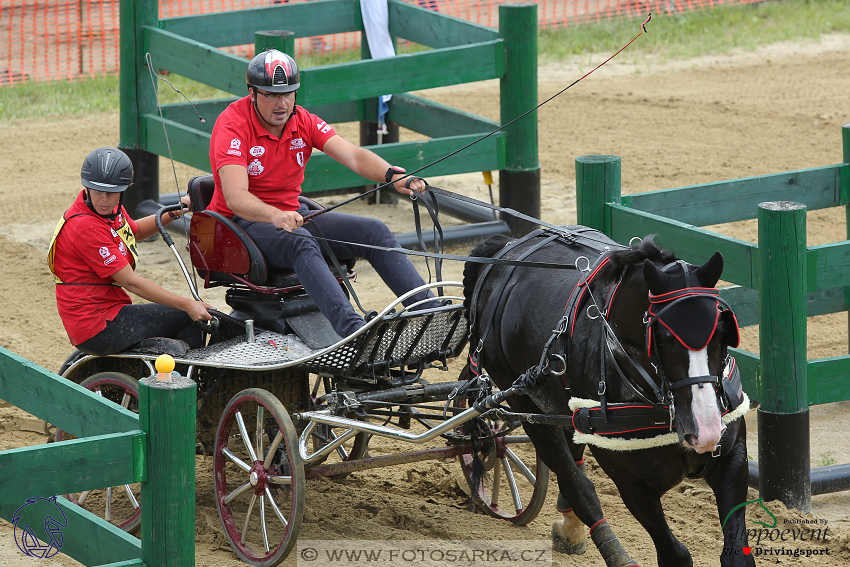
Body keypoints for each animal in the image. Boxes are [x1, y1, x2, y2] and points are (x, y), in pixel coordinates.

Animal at [468, 227, 752, 567]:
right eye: (664, 338)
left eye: (721, 333)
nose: (706, 430)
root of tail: (507, 248)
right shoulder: (630, 482)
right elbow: (675, 554)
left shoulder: (732, 459)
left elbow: (737, 555)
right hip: (526, 406)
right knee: (576, 483)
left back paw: (570, 525)